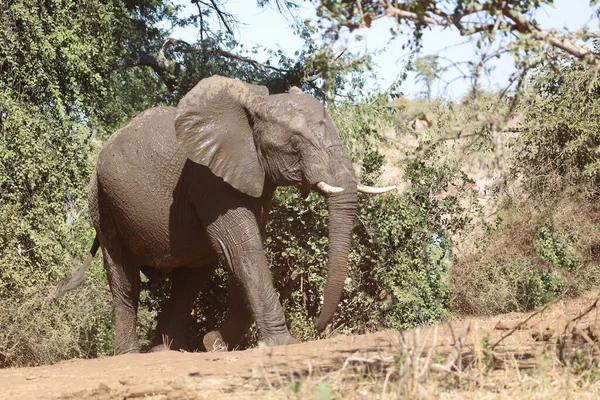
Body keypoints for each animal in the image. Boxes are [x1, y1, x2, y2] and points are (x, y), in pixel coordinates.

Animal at [55, 75, 394, 354]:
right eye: (295, 145)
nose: (316, 326)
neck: (255, 107)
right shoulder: (208, 179)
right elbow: (241, 247)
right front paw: (283, 343)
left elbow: (239, 250)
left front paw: (213, 342)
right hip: (102, 201)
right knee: (125, 279)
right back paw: (132, 355)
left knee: (189, 279)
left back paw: (168, 350)